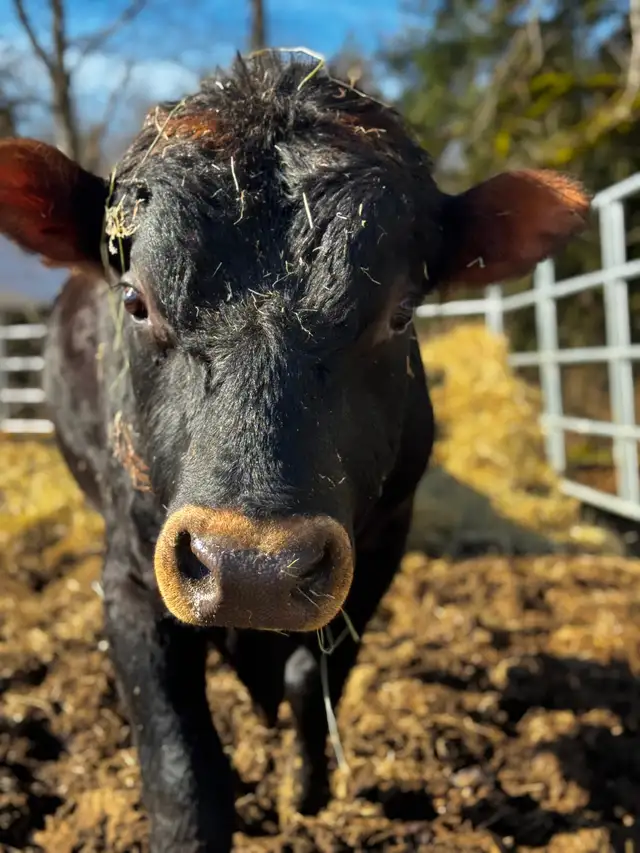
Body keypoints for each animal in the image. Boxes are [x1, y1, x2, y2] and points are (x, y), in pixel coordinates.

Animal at [0, 51, 589, 853]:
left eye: (400, 312)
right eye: (136, 301)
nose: (253, 568)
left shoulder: (381, 546)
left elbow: (316, 683)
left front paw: (305, 793)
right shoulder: (128, 575)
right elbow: (182, 767)